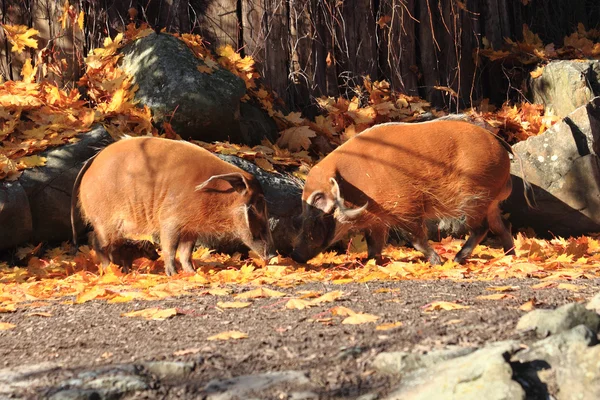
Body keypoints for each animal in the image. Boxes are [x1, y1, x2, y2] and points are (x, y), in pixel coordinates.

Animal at [71, 136, 276, 276]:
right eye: (256, 205)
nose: (273, 255)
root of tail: (91, 162)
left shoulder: (191, 229)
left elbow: (186, 252)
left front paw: (192, 273)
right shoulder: (170, 220)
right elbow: (169, 248)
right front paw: (173, 274)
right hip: (104, 221)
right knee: (97, 243)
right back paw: (111, 271)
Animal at [290, 120, 516, 264]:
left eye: (317, 202)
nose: (295, 255)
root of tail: (502, 147)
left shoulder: (406, 205)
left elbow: (415, 237)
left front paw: (437, 262)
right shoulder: (377, 220)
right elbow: (373, 245)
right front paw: (372, 262)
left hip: (475, 200)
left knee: (482, 229)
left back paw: (457, 259)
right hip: (491, 203)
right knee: (501, 227)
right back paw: (510, 255)